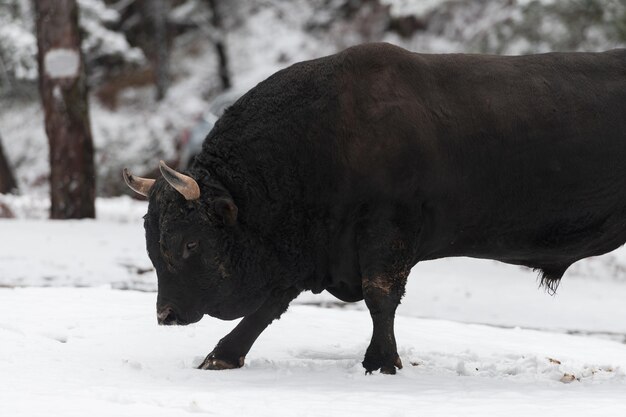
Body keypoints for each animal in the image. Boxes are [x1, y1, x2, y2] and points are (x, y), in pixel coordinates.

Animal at [123, 43, 624, 374]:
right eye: (151, 242)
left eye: (189, 243)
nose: (165, 315)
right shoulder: (312, 251)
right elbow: (270, 305)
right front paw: (224, 354)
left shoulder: (388, 233)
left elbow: (380, 296)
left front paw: (382, 360)